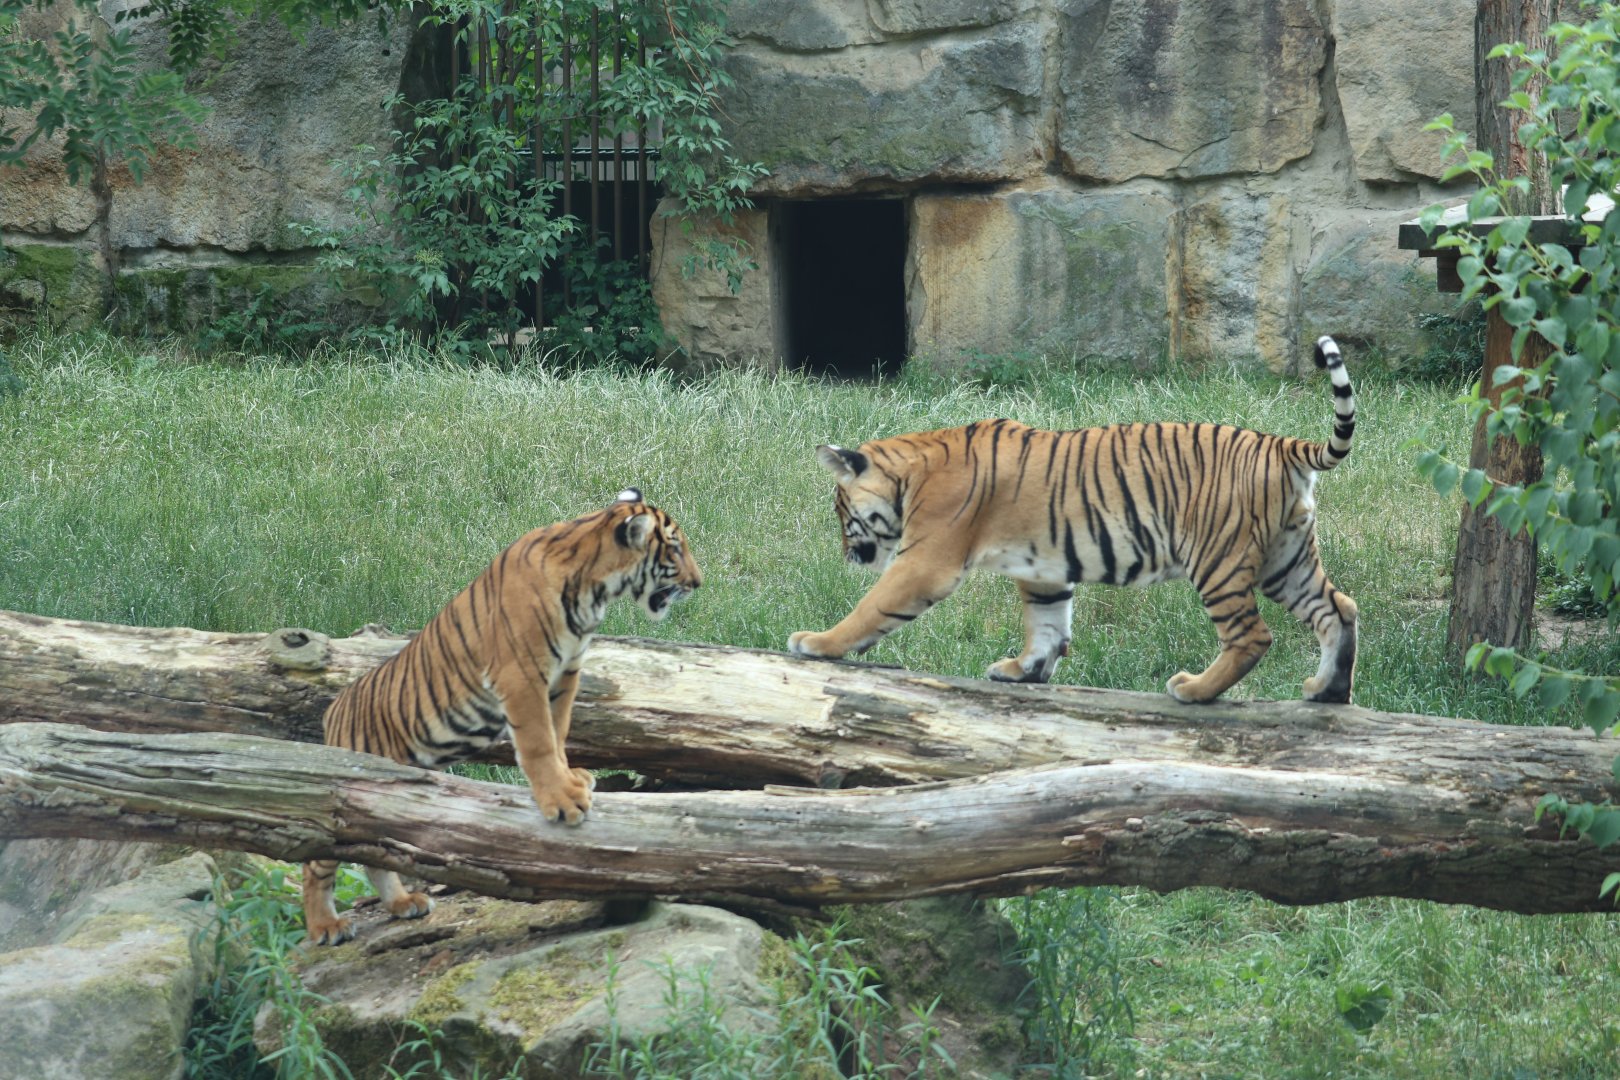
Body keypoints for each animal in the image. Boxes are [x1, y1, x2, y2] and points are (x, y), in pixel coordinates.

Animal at [303, 489, 702, 946]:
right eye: (676, 549)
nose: (698, 582)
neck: (593, 588)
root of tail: (334, 711)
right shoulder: (521, 676)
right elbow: (539, 741)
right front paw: (562, 801)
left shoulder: (566, 674)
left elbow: (558, 733)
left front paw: (572, 779)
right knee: (315, 864)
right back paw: (325, 926)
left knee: (374, 857)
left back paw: (404, 904)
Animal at [788, 335, 1357, 706]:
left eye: (841, 512)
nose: (848, 555)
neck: (912, 470)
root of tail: (1280, 444)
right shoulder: (1044, 569)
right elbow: (1047, 625)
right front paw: (1023, 672)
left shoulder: (926, 561)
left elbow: (872, 608)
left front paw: (817, 643)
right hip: (1286, 559)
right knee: (1339, 608)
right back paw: (1325, 691)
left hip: (1218, 558)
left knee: (1251, 636)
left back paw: (1194, 690)